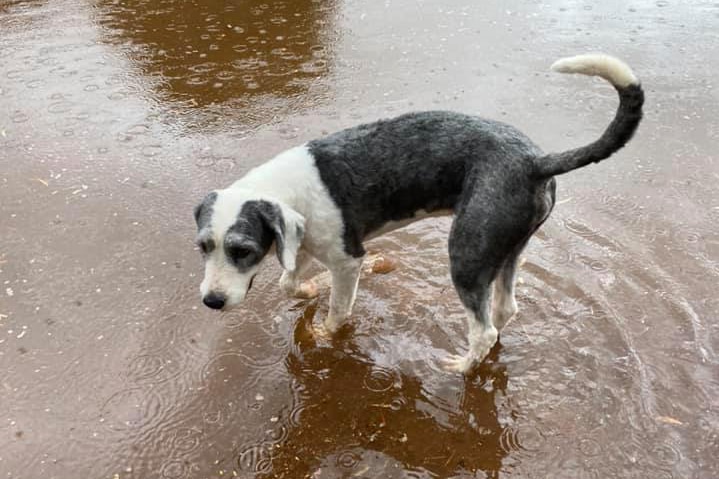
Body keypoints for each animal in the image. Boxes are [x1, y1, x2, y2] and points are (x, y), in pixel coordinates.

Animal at [194, 53, 644, 376]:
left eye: (242, 250)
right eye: (204, 247)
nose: (211, 302)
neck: (285, 188)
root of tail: (536, 161)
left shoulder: (347, 260)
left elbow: (338, 312)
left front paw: (322, 333)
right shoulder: (302, 244)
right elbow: (289, 283)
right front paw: (309, 290)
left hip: (467, 255)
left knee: (483, 329)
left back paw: (460, 368)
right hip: (507, 249)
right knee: (503, 313)